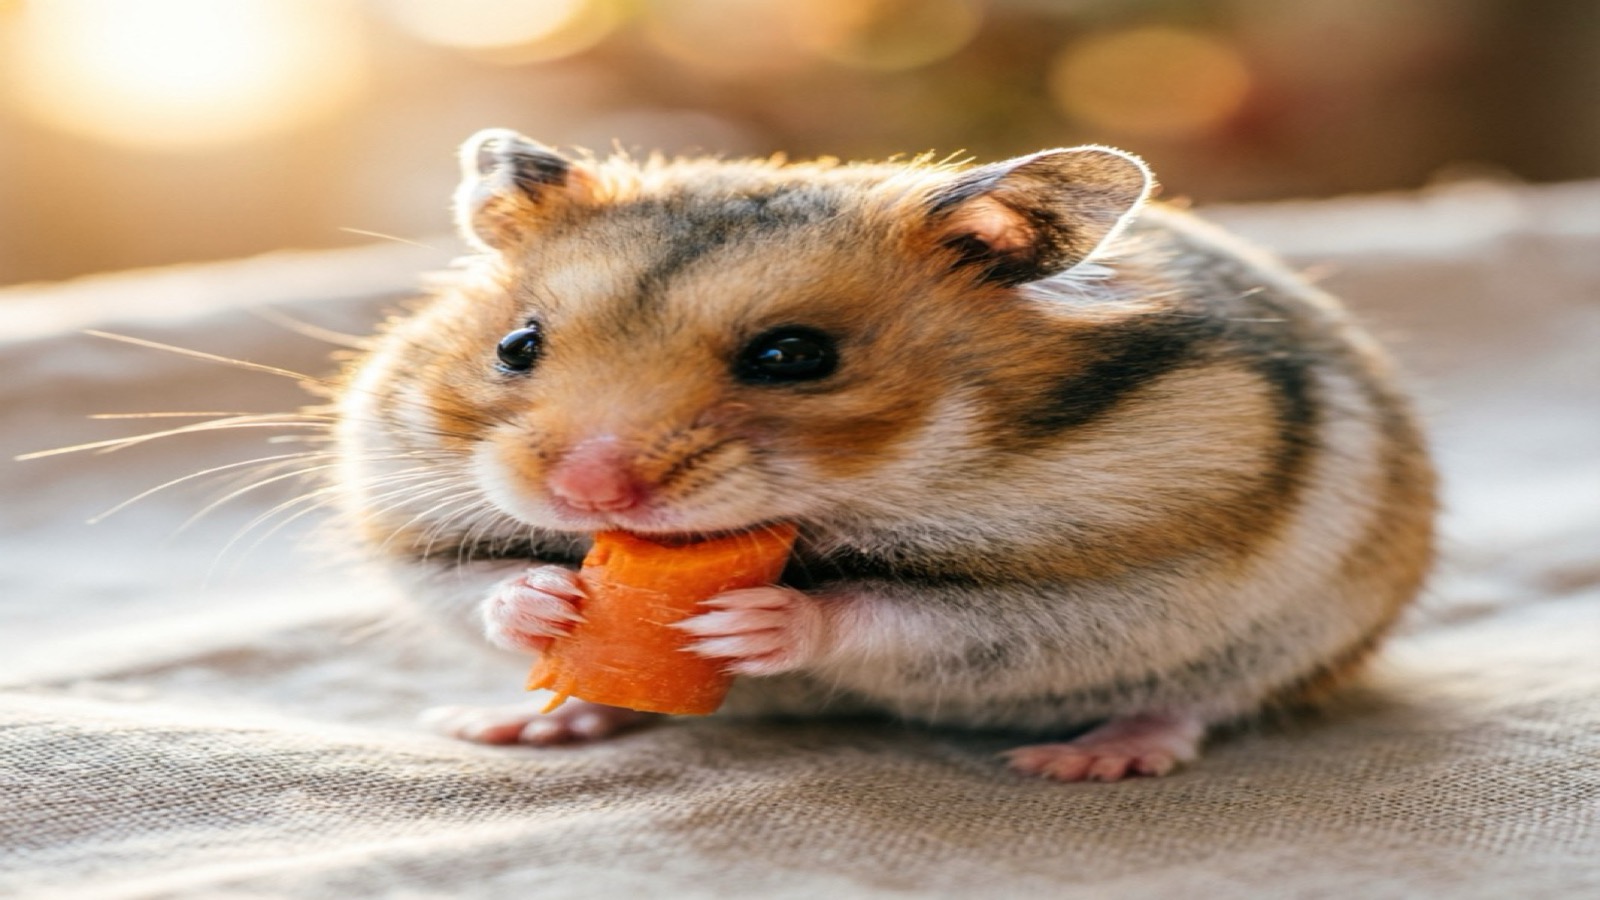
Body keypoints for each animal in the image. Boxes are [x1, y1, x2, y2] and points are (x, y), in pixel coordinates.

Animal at [334, 128, 1436, 782]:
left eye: (793, 357)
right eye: (517, 346)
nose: (584, 490)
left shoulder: (1109, 574)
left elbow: (899, 613)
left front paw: (753, 620)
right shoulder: (413, 526)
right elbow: (471, 581)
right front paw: (545, 599)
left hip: (1290, 632)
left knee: (1201, 699)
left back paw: (1086, 760)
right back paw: (523, 725)